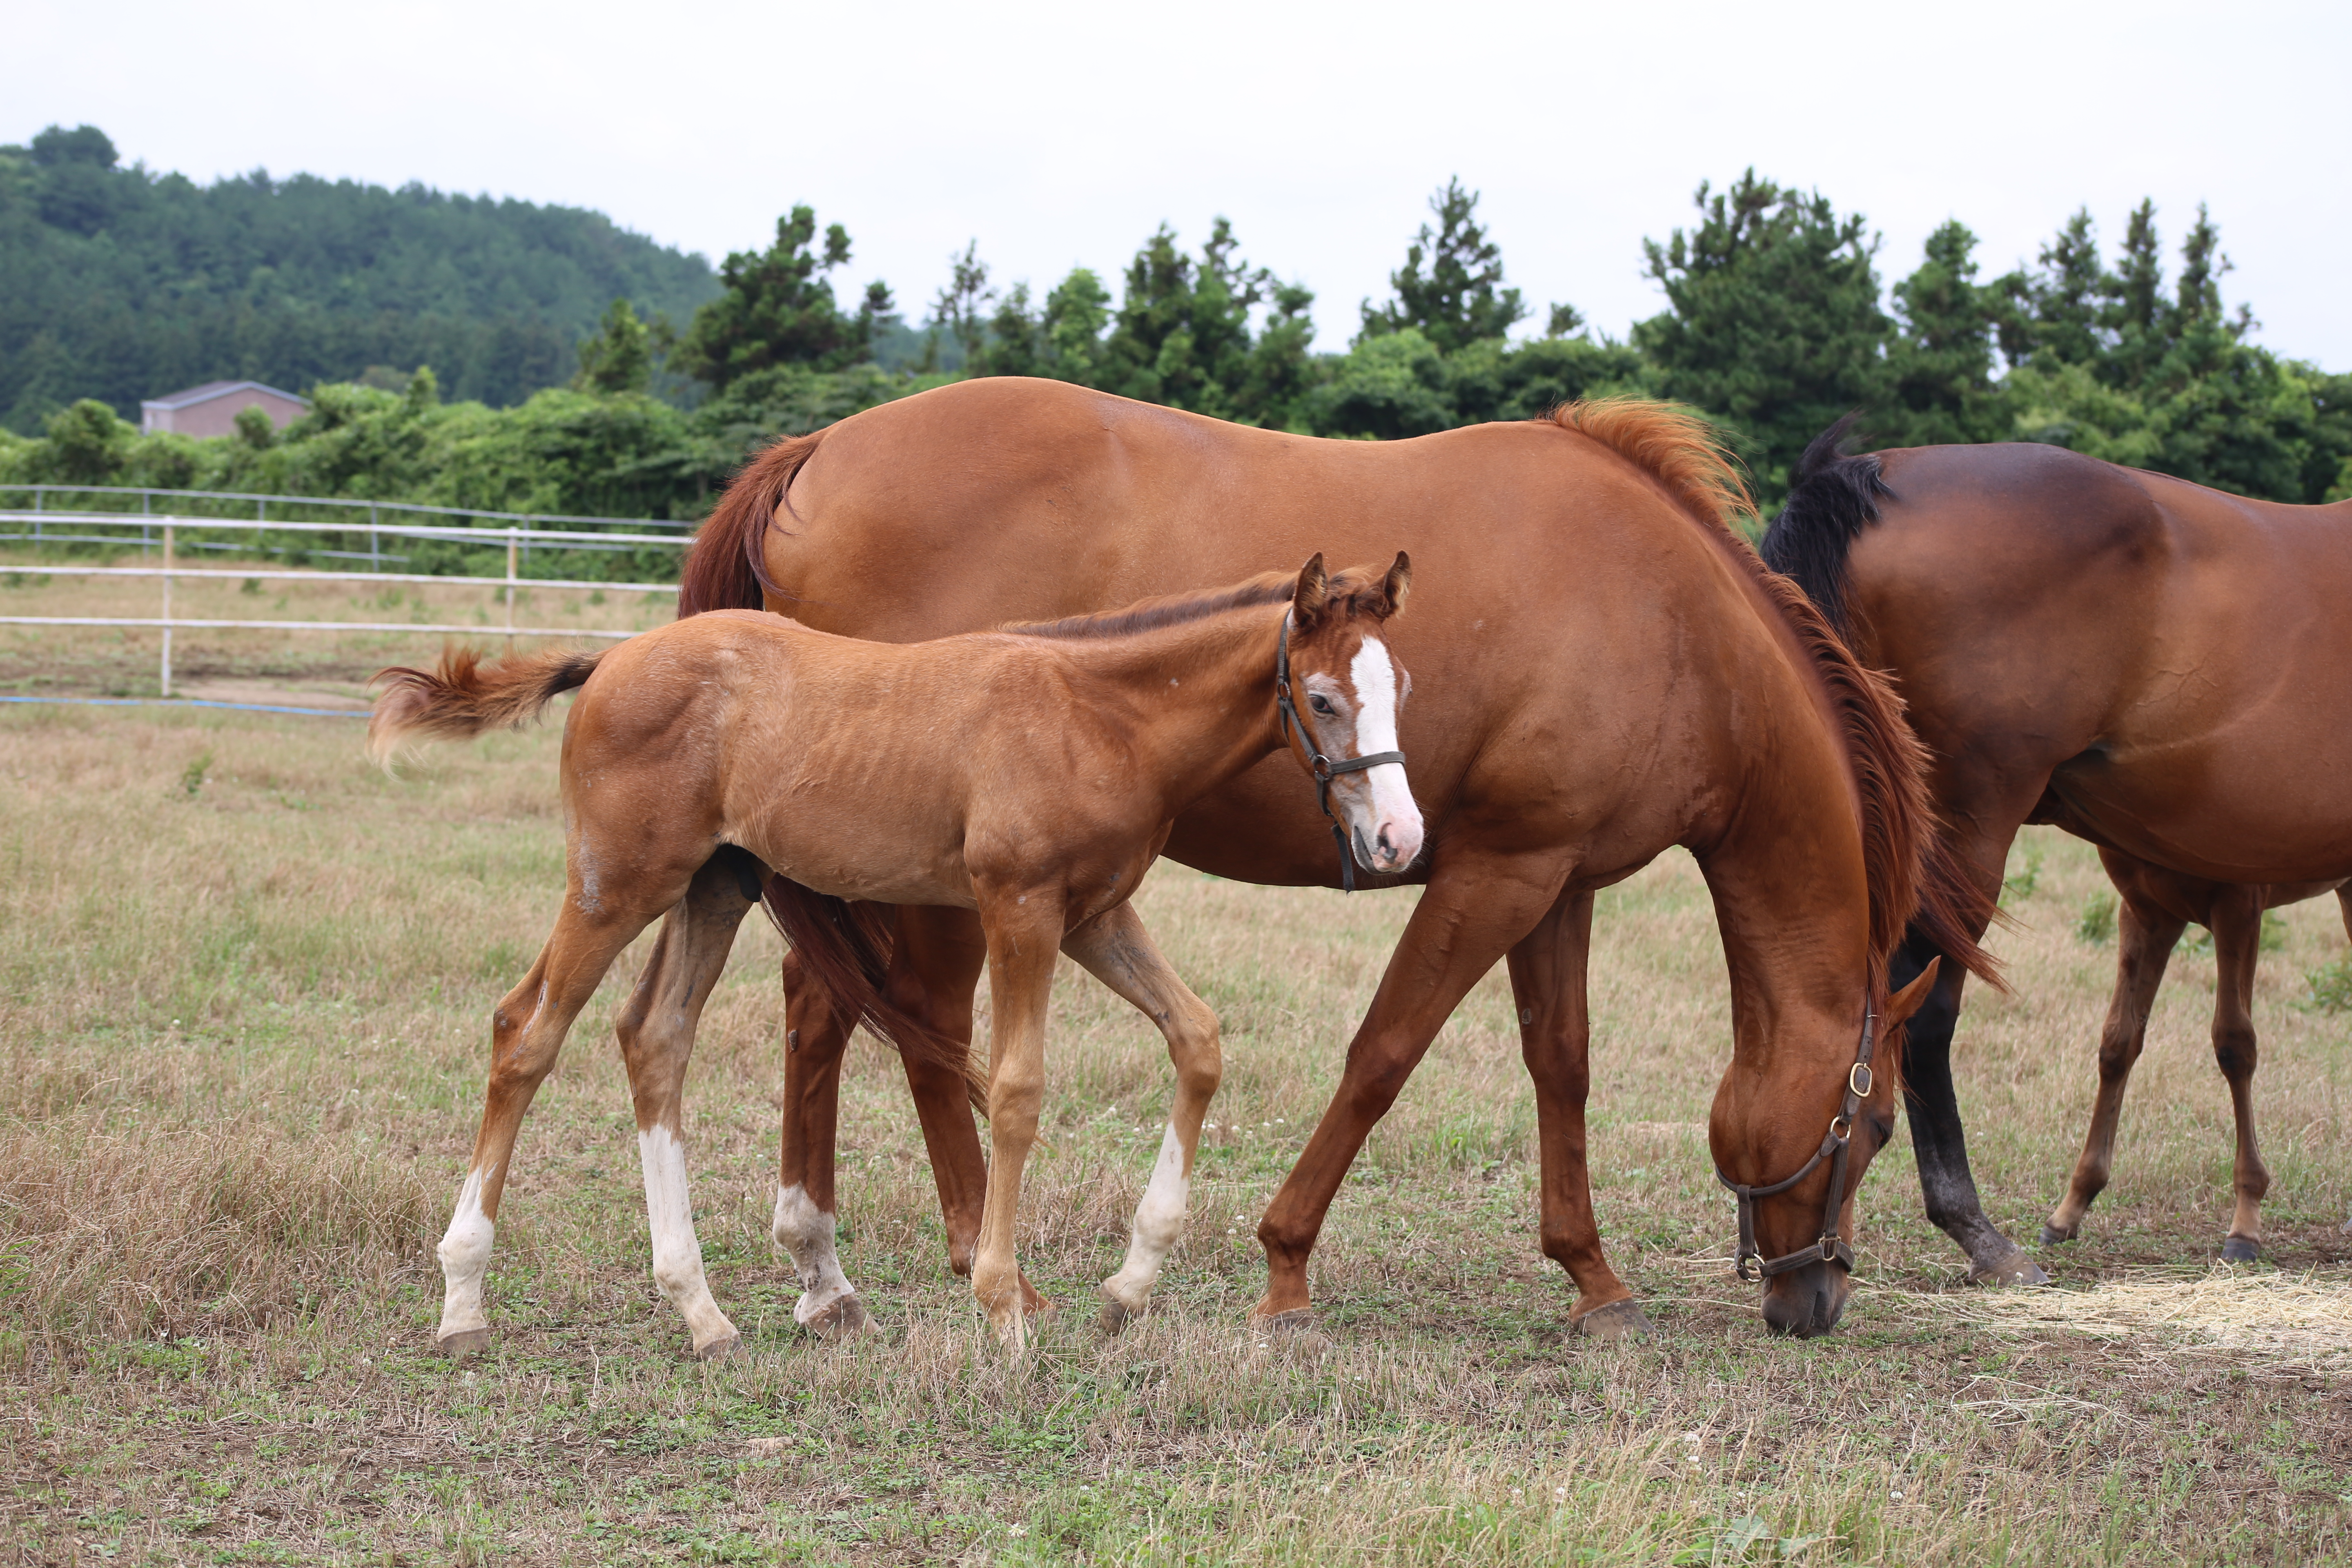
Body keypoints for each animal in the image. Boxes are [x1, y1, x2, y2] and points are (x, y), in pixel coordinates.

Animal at [682, 381, 1985, 1335]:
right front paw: (1285, 1266)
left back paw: (825, 1271)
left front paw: (1591, 1276)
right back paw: (962, 1259)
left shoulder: (1556, 877)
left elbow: (1559, 1063)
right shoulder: (1494, 872)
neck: (1670, 621)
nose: (1816, 1298)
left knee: (825, 1011)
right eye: (1870, 1128)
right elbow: (1383, 1055)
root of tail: (817, 449)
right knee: (902, 1026)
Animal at [2032, 846, 2342, 1260]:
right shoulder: (2146, 912)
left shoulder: (2240, 905)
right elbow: (2118, 1043)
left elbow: (2233, 1043)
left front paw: (2246, 1222)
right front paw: (2071, 1209)